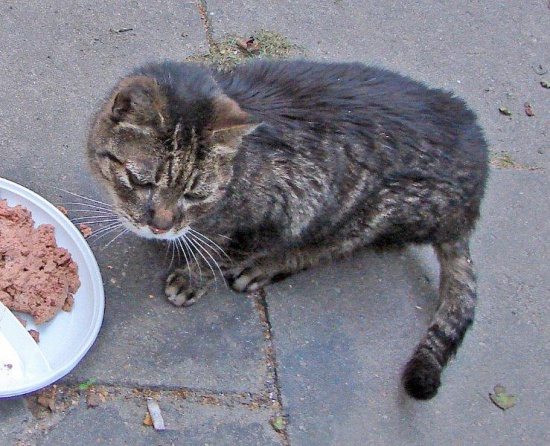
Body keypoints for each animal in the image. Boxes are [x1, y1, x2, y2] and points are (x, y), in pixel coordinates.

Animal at [87, 59, 488, 400]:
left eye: (194, 194)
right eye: (142, 182)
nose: (160, 225)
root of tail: (471, 206)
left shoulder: (282, 206)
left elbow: (222, 249)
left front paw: (194, 274)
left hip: (373, 212)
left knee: (330, 247)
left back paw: (266, 265)